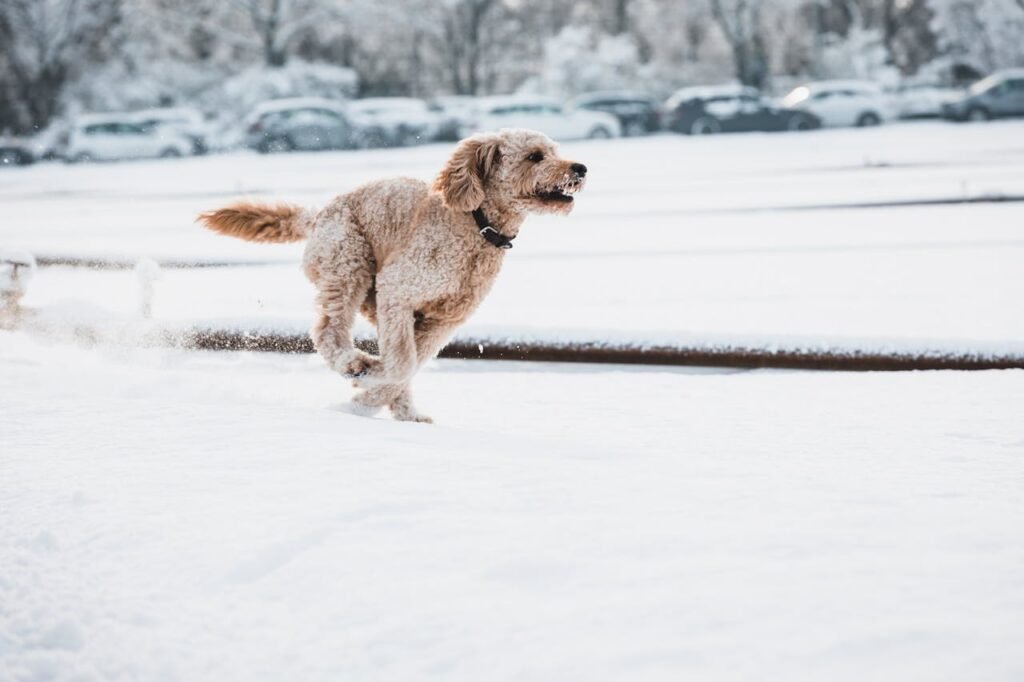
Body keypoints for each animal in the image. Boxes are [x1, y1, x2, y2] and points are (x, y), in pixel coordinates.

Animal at [196, 127, 589, 419]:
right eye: (535, 156)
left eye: (554, 151)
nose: (581, 167)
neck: (475, 225)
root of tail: (318, 214)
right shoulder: (399, 290)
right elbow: (402, 363)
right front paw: (362, 389)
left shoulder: (443, 318)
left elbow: (411, 362)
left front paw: (367, 397)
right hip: (349, 264)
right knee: (328, 330)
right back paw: (354, 364)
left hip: (373, 296)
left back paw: (404, 411)